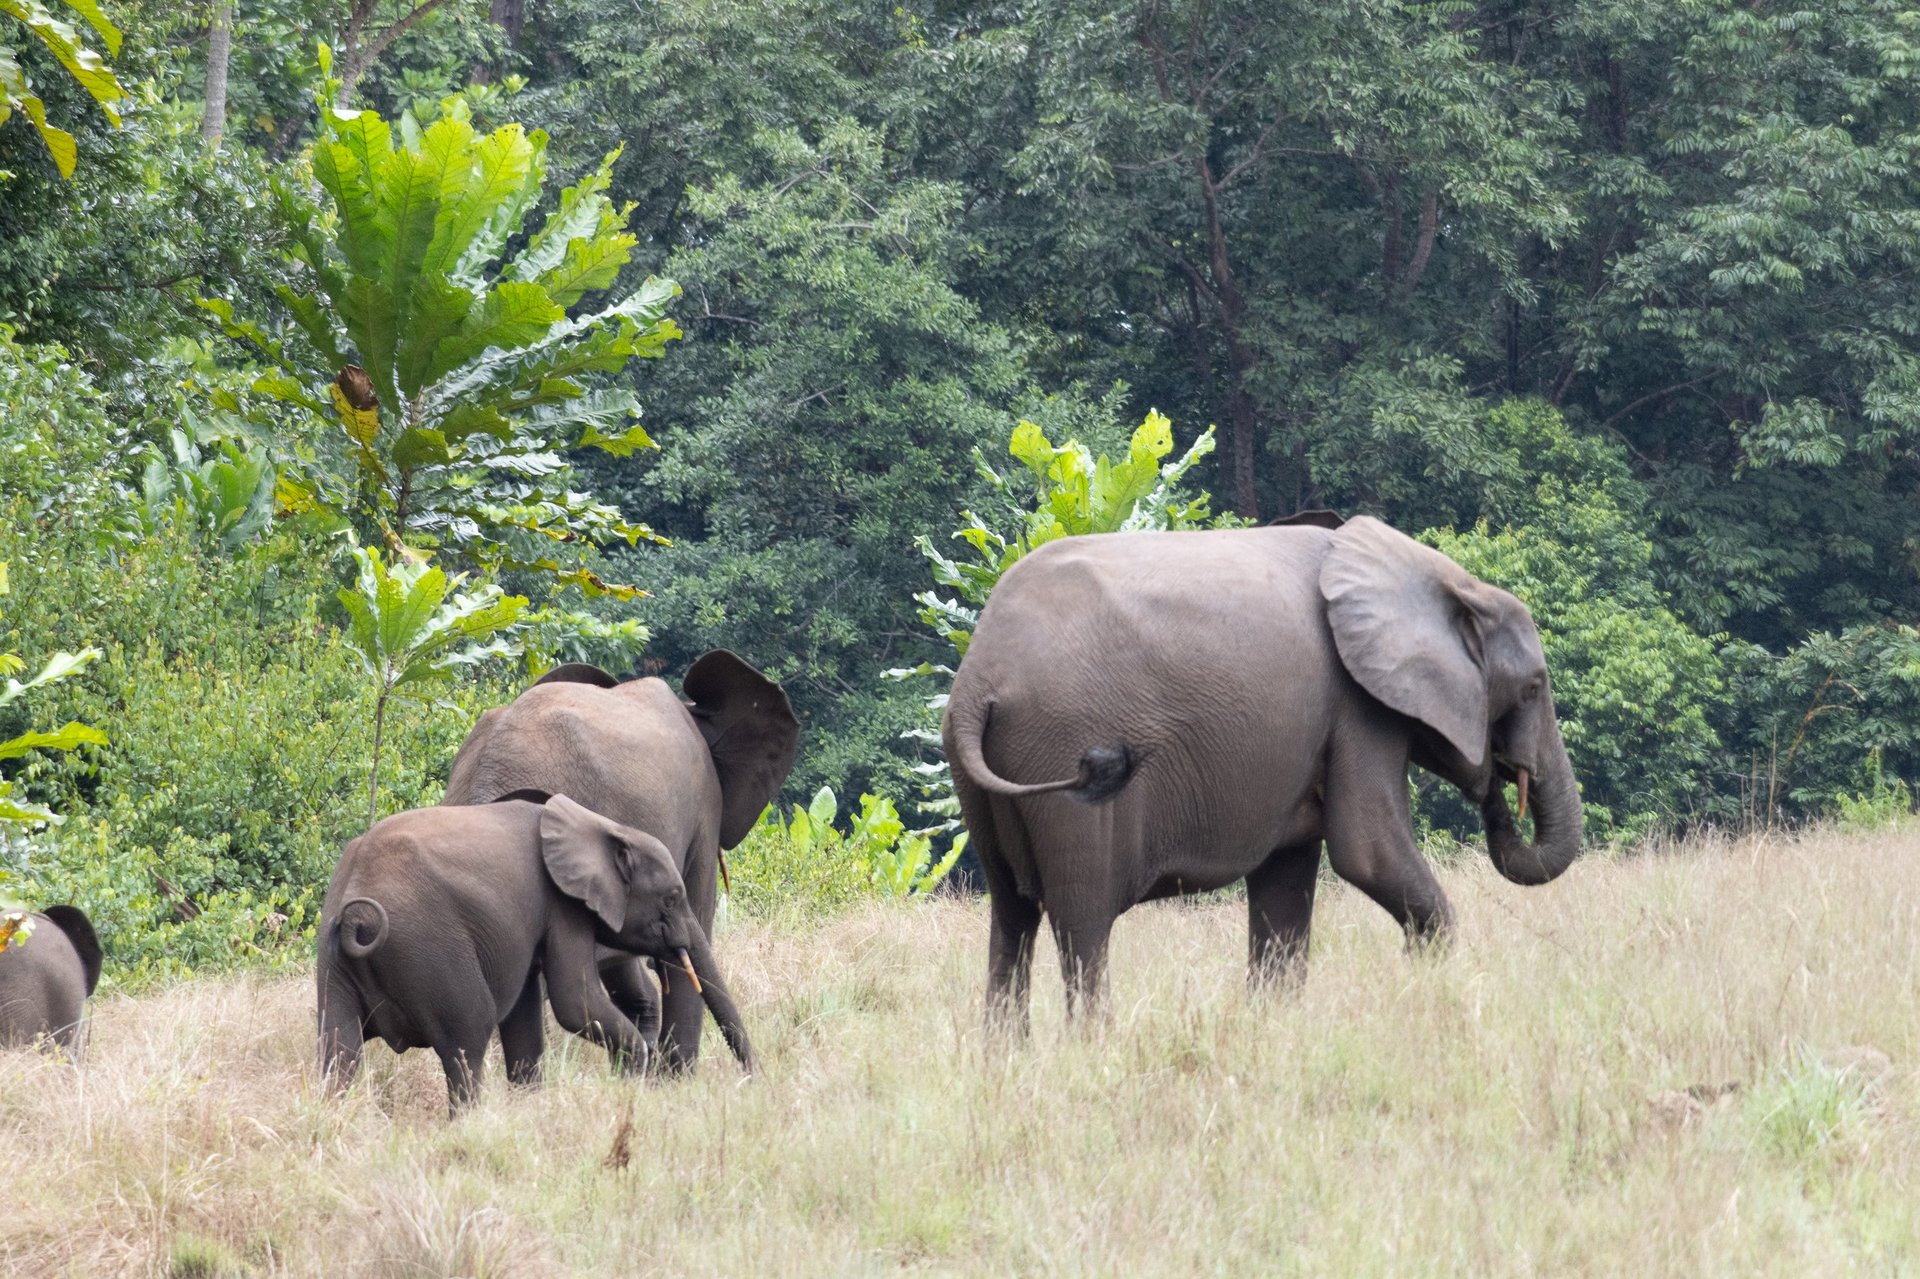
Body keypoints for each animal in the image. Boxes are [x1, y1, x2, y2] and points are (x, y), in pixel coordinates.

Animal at [316, 792, 754, 1112]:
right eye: (671, 899)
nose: (755, 1080)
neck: (602, 827)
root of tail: (358, 916)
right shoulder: (563, 905)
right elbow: (574, 1002)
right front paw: (632, 1081)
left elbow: (525, 1012)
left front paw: (530, 1106)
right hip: (430, 949)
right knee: (467, 1038)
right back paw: (469, 1124)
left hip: (333, 960)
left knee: (339, 1049)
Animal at [942, 513, 1583, 1026]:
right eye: (1533, 686)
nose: (1500, 777)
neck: (1439, 577)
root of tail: (979, 678)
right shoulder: (1357, 708)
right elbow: (1366, 852)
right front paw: (1427, 989)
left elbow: (1285, 884)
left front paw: (1273, 1030)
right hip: (1060, 756)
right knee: (1083, 923)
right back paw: (1095, 1051)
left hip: (984, 777)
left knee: (1012, 917)